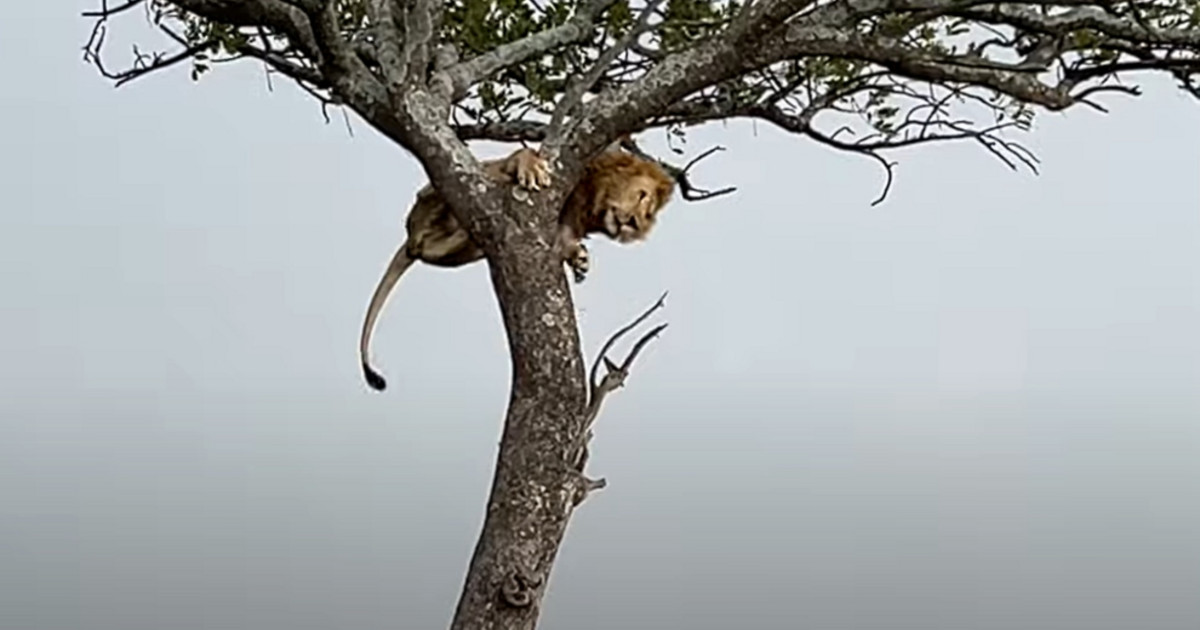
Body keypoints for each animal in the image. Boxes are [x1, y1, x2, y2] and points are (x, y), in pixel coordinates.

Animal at [355, 141, 676, 393]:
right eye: (642, 195)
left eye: (648, 214)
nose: (635, 223)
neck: (592, 202)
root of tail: (410, 234)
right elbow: (523, 153)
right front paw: (531, 169)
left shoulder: (569, 223)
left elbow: (565, 240)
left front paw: (579, 259)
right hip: (431, 199)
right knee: (450, 196)